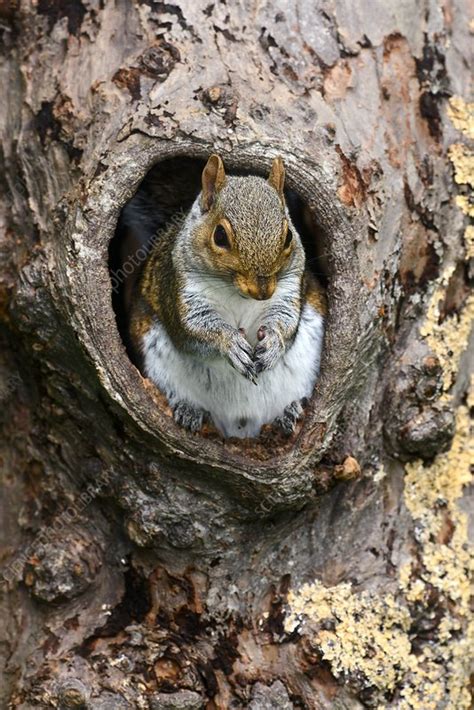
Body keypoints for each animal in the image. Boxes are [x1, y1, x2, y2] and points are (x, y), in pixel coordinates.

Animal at [126, 156, 326, 440]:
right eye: (220, 236)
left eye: (288, 235)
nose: (263, 291)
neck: (238, 294)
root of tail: (240, 428)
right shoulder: (179, 291)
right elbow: (194, 331)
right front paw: (230, 342)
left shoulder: (288, 290)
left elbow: (286, 324)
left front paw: (274, 342)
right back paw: (189, 410)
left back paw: (289, 412)